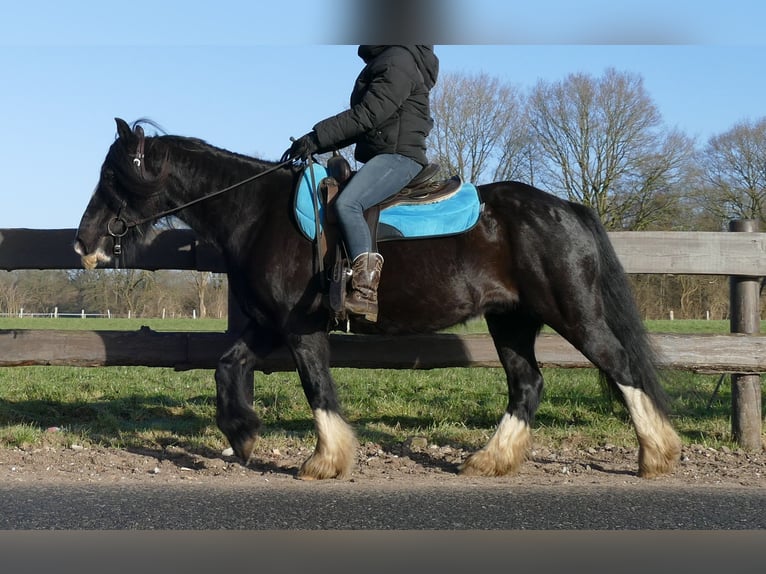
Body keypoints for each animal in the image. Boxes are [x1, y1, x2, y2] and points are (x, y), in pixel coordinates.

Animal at [75, 120, 680, 482]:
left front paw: (325, 460)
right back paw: (490, 459)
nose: (84, 244)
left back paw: (656, 454)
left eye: (115, 174)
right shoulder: (267, 326)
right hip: (511, 321)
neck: (258, 212)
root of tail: (566, 208)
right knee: (527, 384)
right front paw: (243, 435)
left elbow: (317, 387)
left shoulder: (299, 329)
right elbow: (227, 366)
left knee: (621, 366)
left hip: (571, 312)